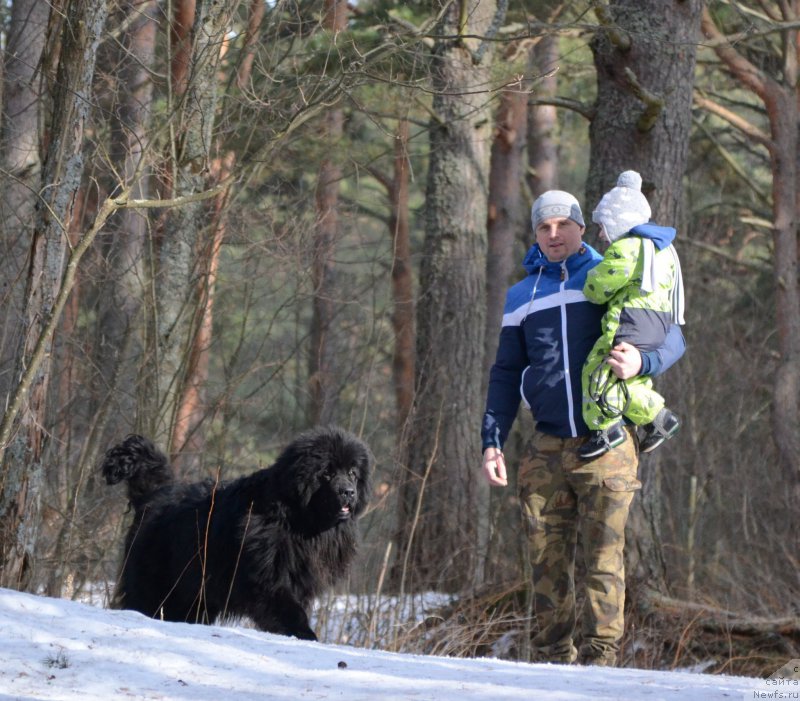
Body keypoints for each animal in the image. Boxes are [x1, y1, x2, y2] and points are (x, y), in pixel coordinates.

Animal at [101, 422, 374, 640]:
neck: (298, 520)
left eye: (352, 473)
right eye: (326, 473)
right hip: (157, 585)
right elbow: (289, 609)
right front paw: (305, 634)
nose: (348, 492)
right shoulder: (268, 577)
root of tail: (155, 493)